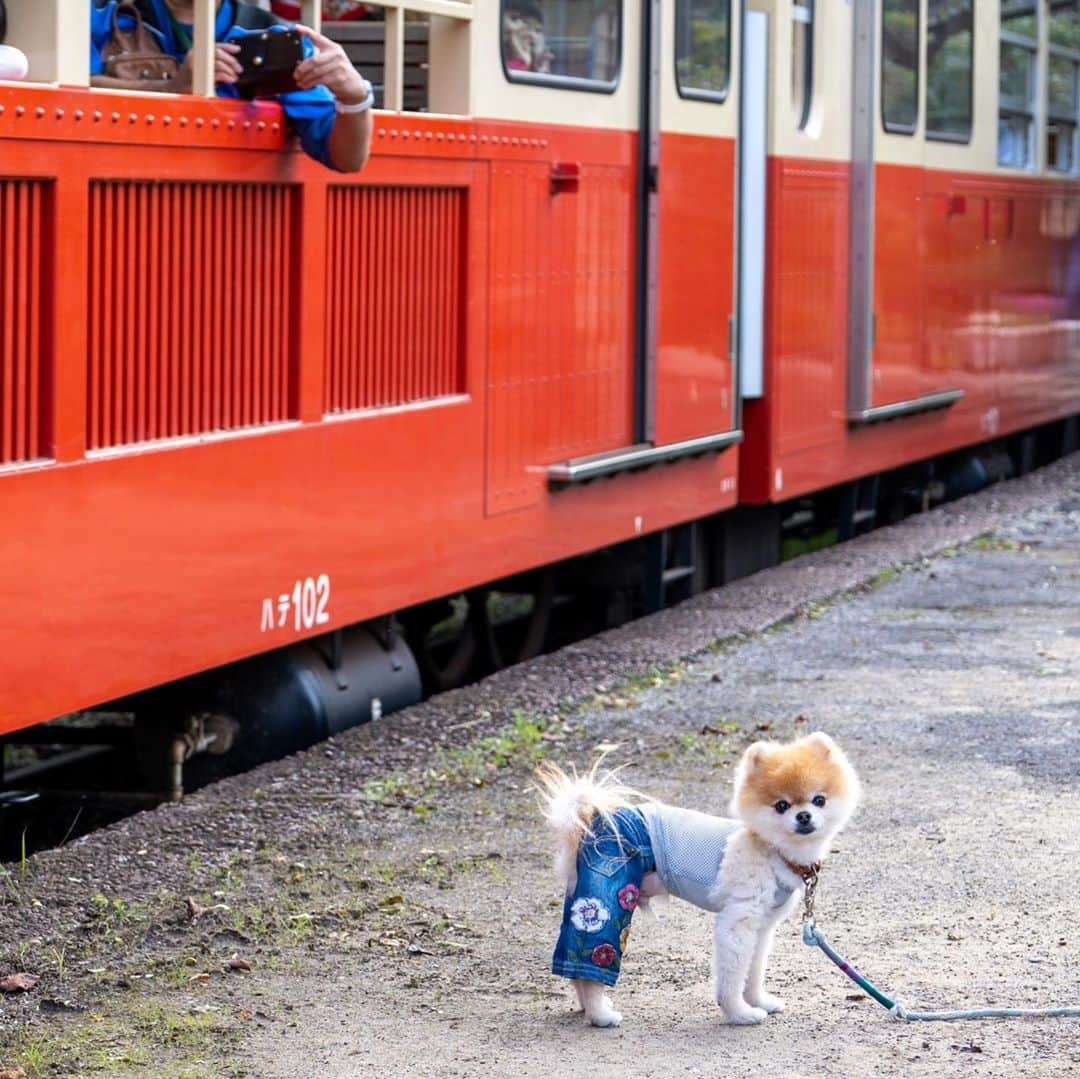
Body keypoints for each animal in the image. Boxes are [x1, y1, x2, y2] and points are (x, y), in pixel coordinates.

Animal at [540, 734, 859, 1028]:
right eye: (781, 805)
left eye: (819, 800)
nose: (804, 816)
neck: (770, 849)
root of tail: (592, 820)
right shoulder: (738, 919)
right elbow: (733, 974)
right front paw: (739, 1012)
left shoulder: (762, 926)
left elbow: (754, 970)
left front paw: (758, 1001)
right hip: (606, 899)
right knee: (591, 965)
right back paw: (600, 1014)